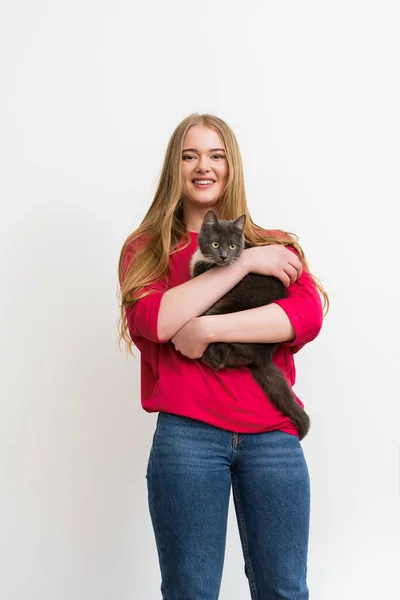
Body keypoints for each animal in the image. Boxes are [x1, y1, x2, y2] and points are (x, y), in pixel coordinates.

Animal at [189, 210, 310, 440]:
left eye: (232, 246)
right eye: (215, 244)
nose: (223, 257)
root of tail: (263, 356)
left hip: (227, 305)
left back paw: (210, 358)